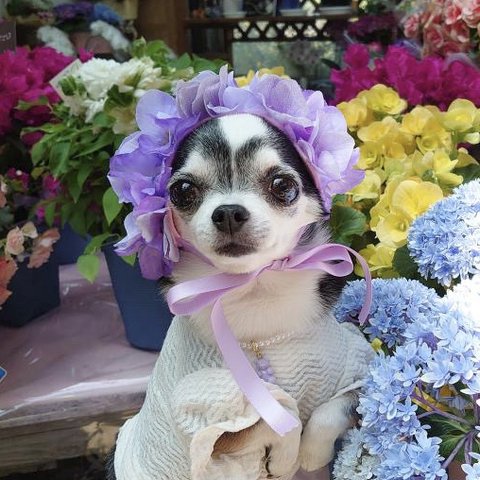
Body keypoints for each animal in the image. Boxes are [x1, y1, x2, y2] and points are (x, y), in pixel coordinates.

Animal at [107, 113, 374, 480]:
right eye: (182, 190)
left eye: (282, 185)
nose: (228, 211)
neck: (254, 288)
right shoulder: (208, 423)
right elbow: (281, 413)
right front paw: (287, 458)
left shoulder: (358, 374)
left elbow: (330, 411)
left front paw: (310, 454)